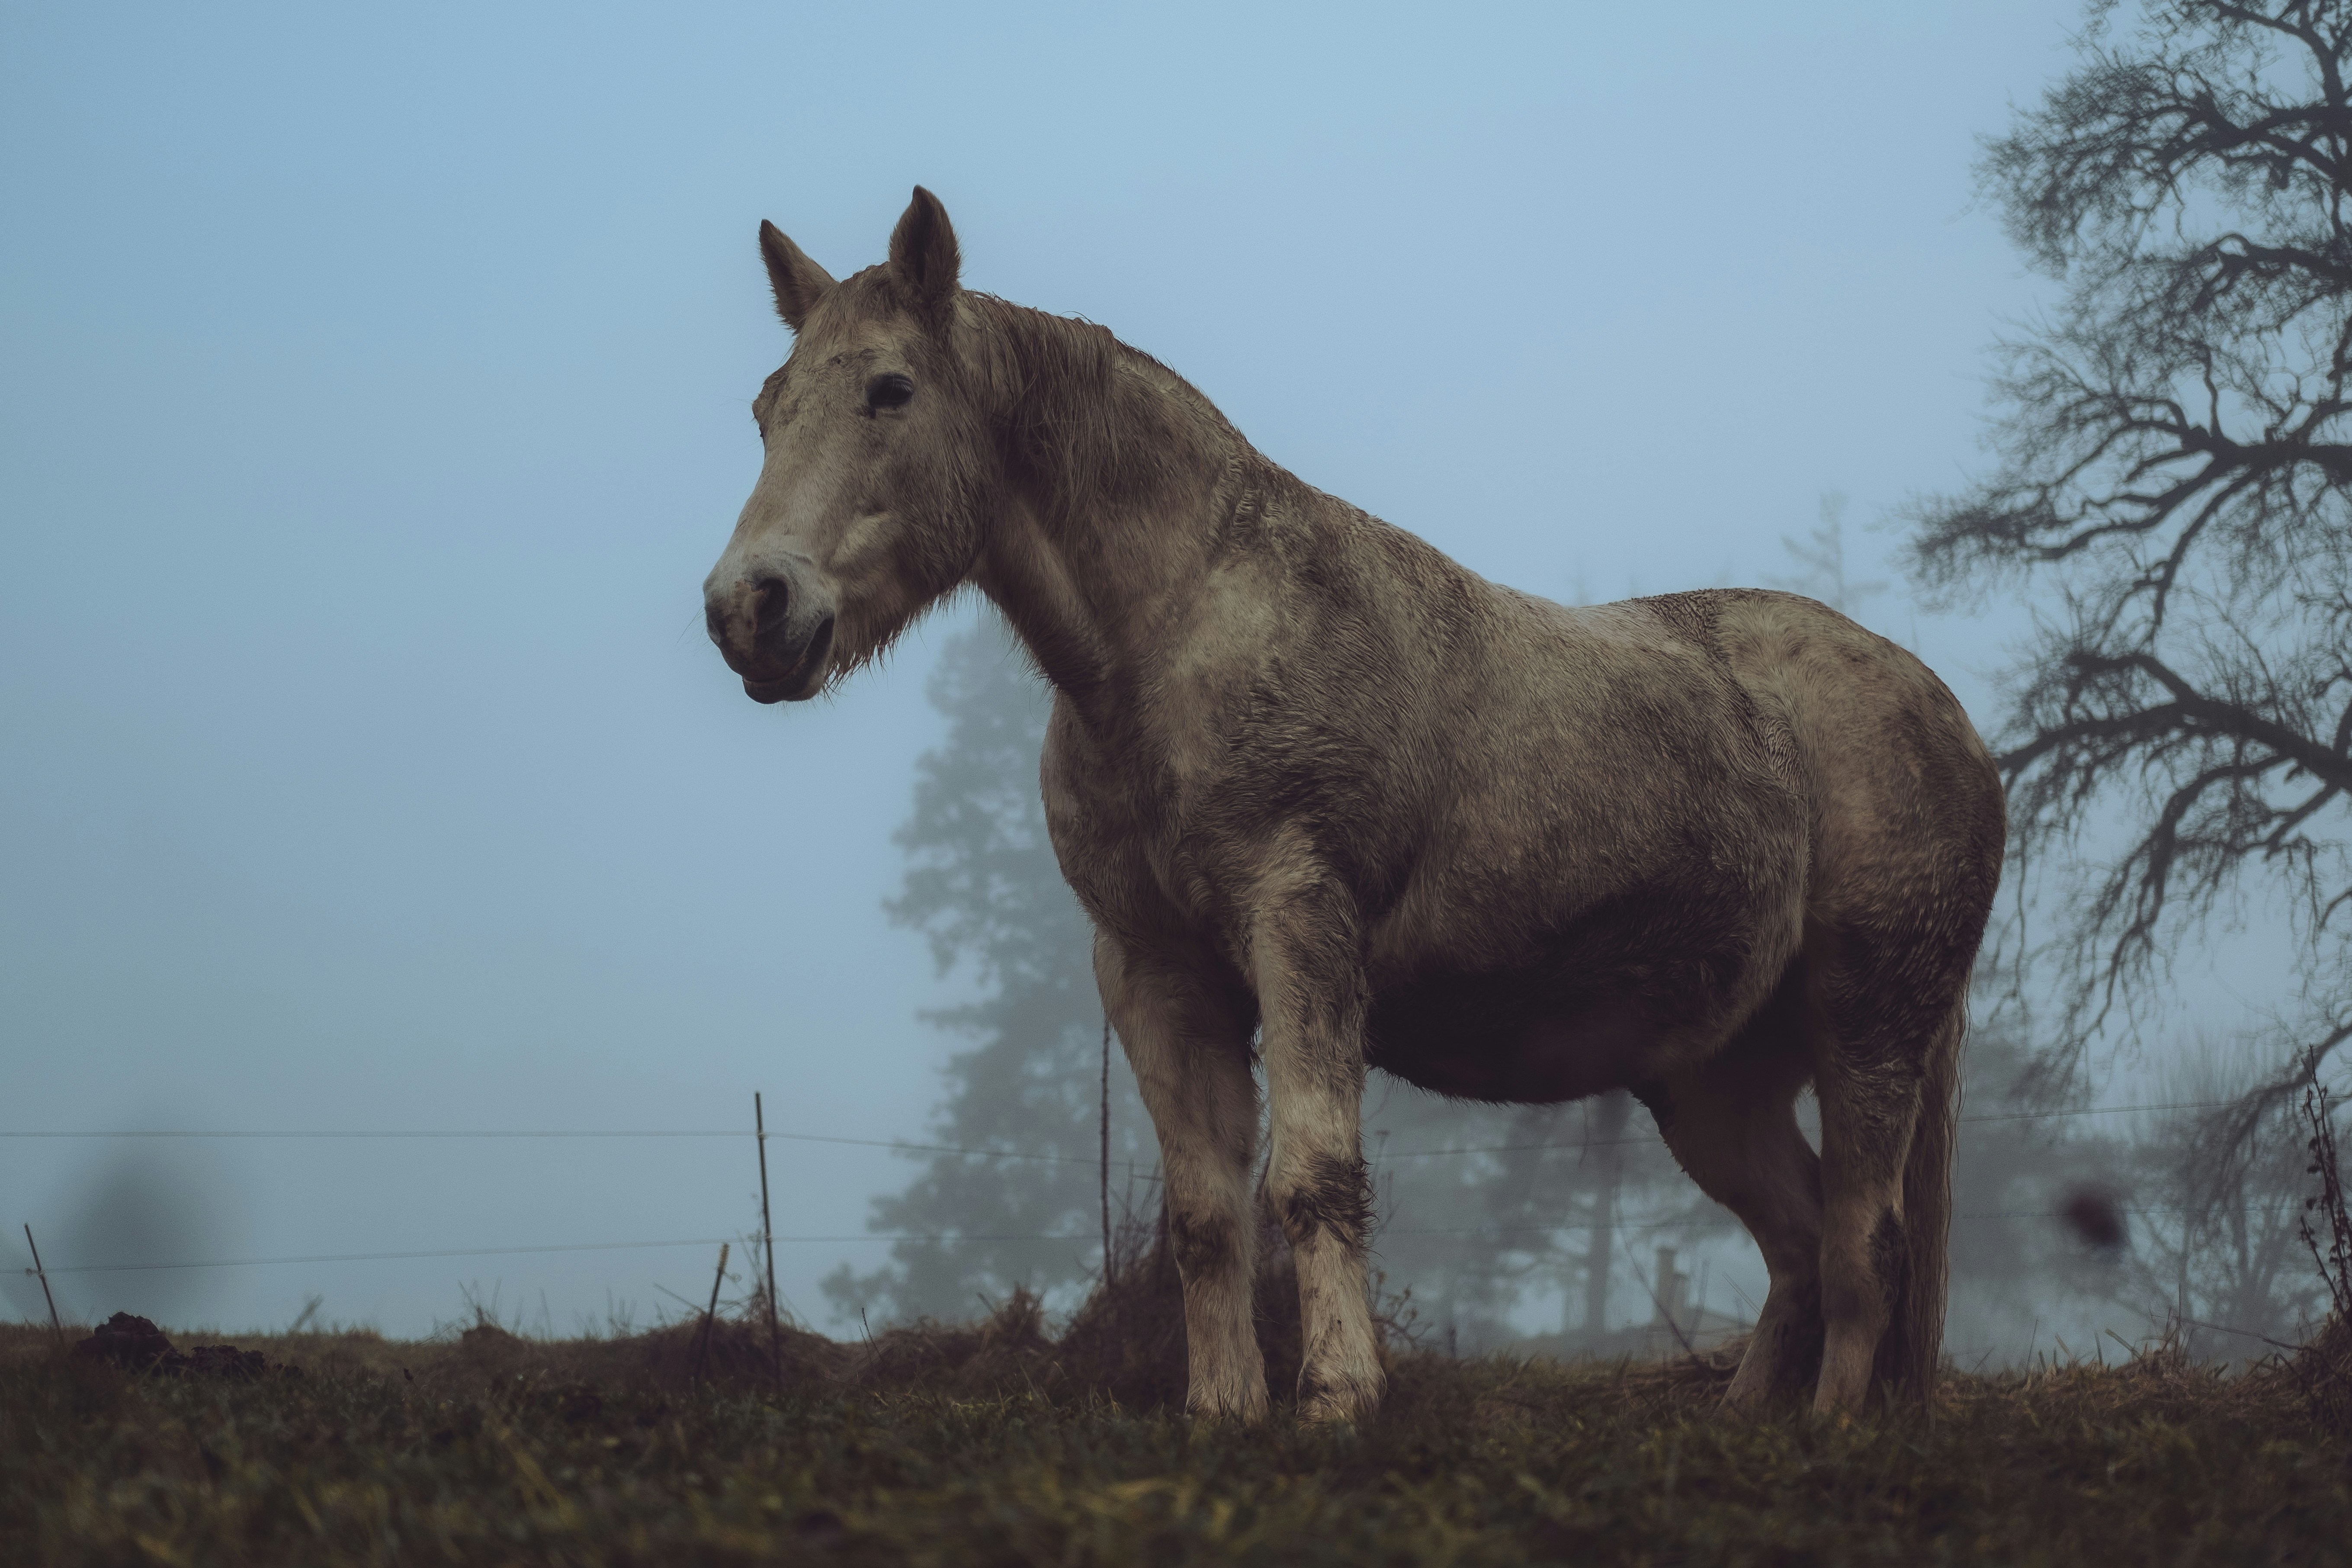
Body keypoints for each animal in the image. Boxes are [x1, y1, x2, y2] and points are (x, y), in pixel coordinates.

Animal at [703, 188, 2005, 1424]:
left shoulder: (1300, 923)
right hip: (1713, 1080)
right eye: (767, 407)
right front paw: (1222, 1407)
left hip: (1868, 1031)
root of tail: (1944, 714)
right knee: (1796, 1244)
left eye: (889, 390)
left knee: (1863, 1246)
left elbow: (1312, 1176)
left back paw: (1831, 1426)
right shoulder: (1152, 969)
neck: (1178, 637)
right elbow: (1204, 1213)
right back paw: (1745, 1418)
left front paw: (1336, 1396)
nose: (749, 608)